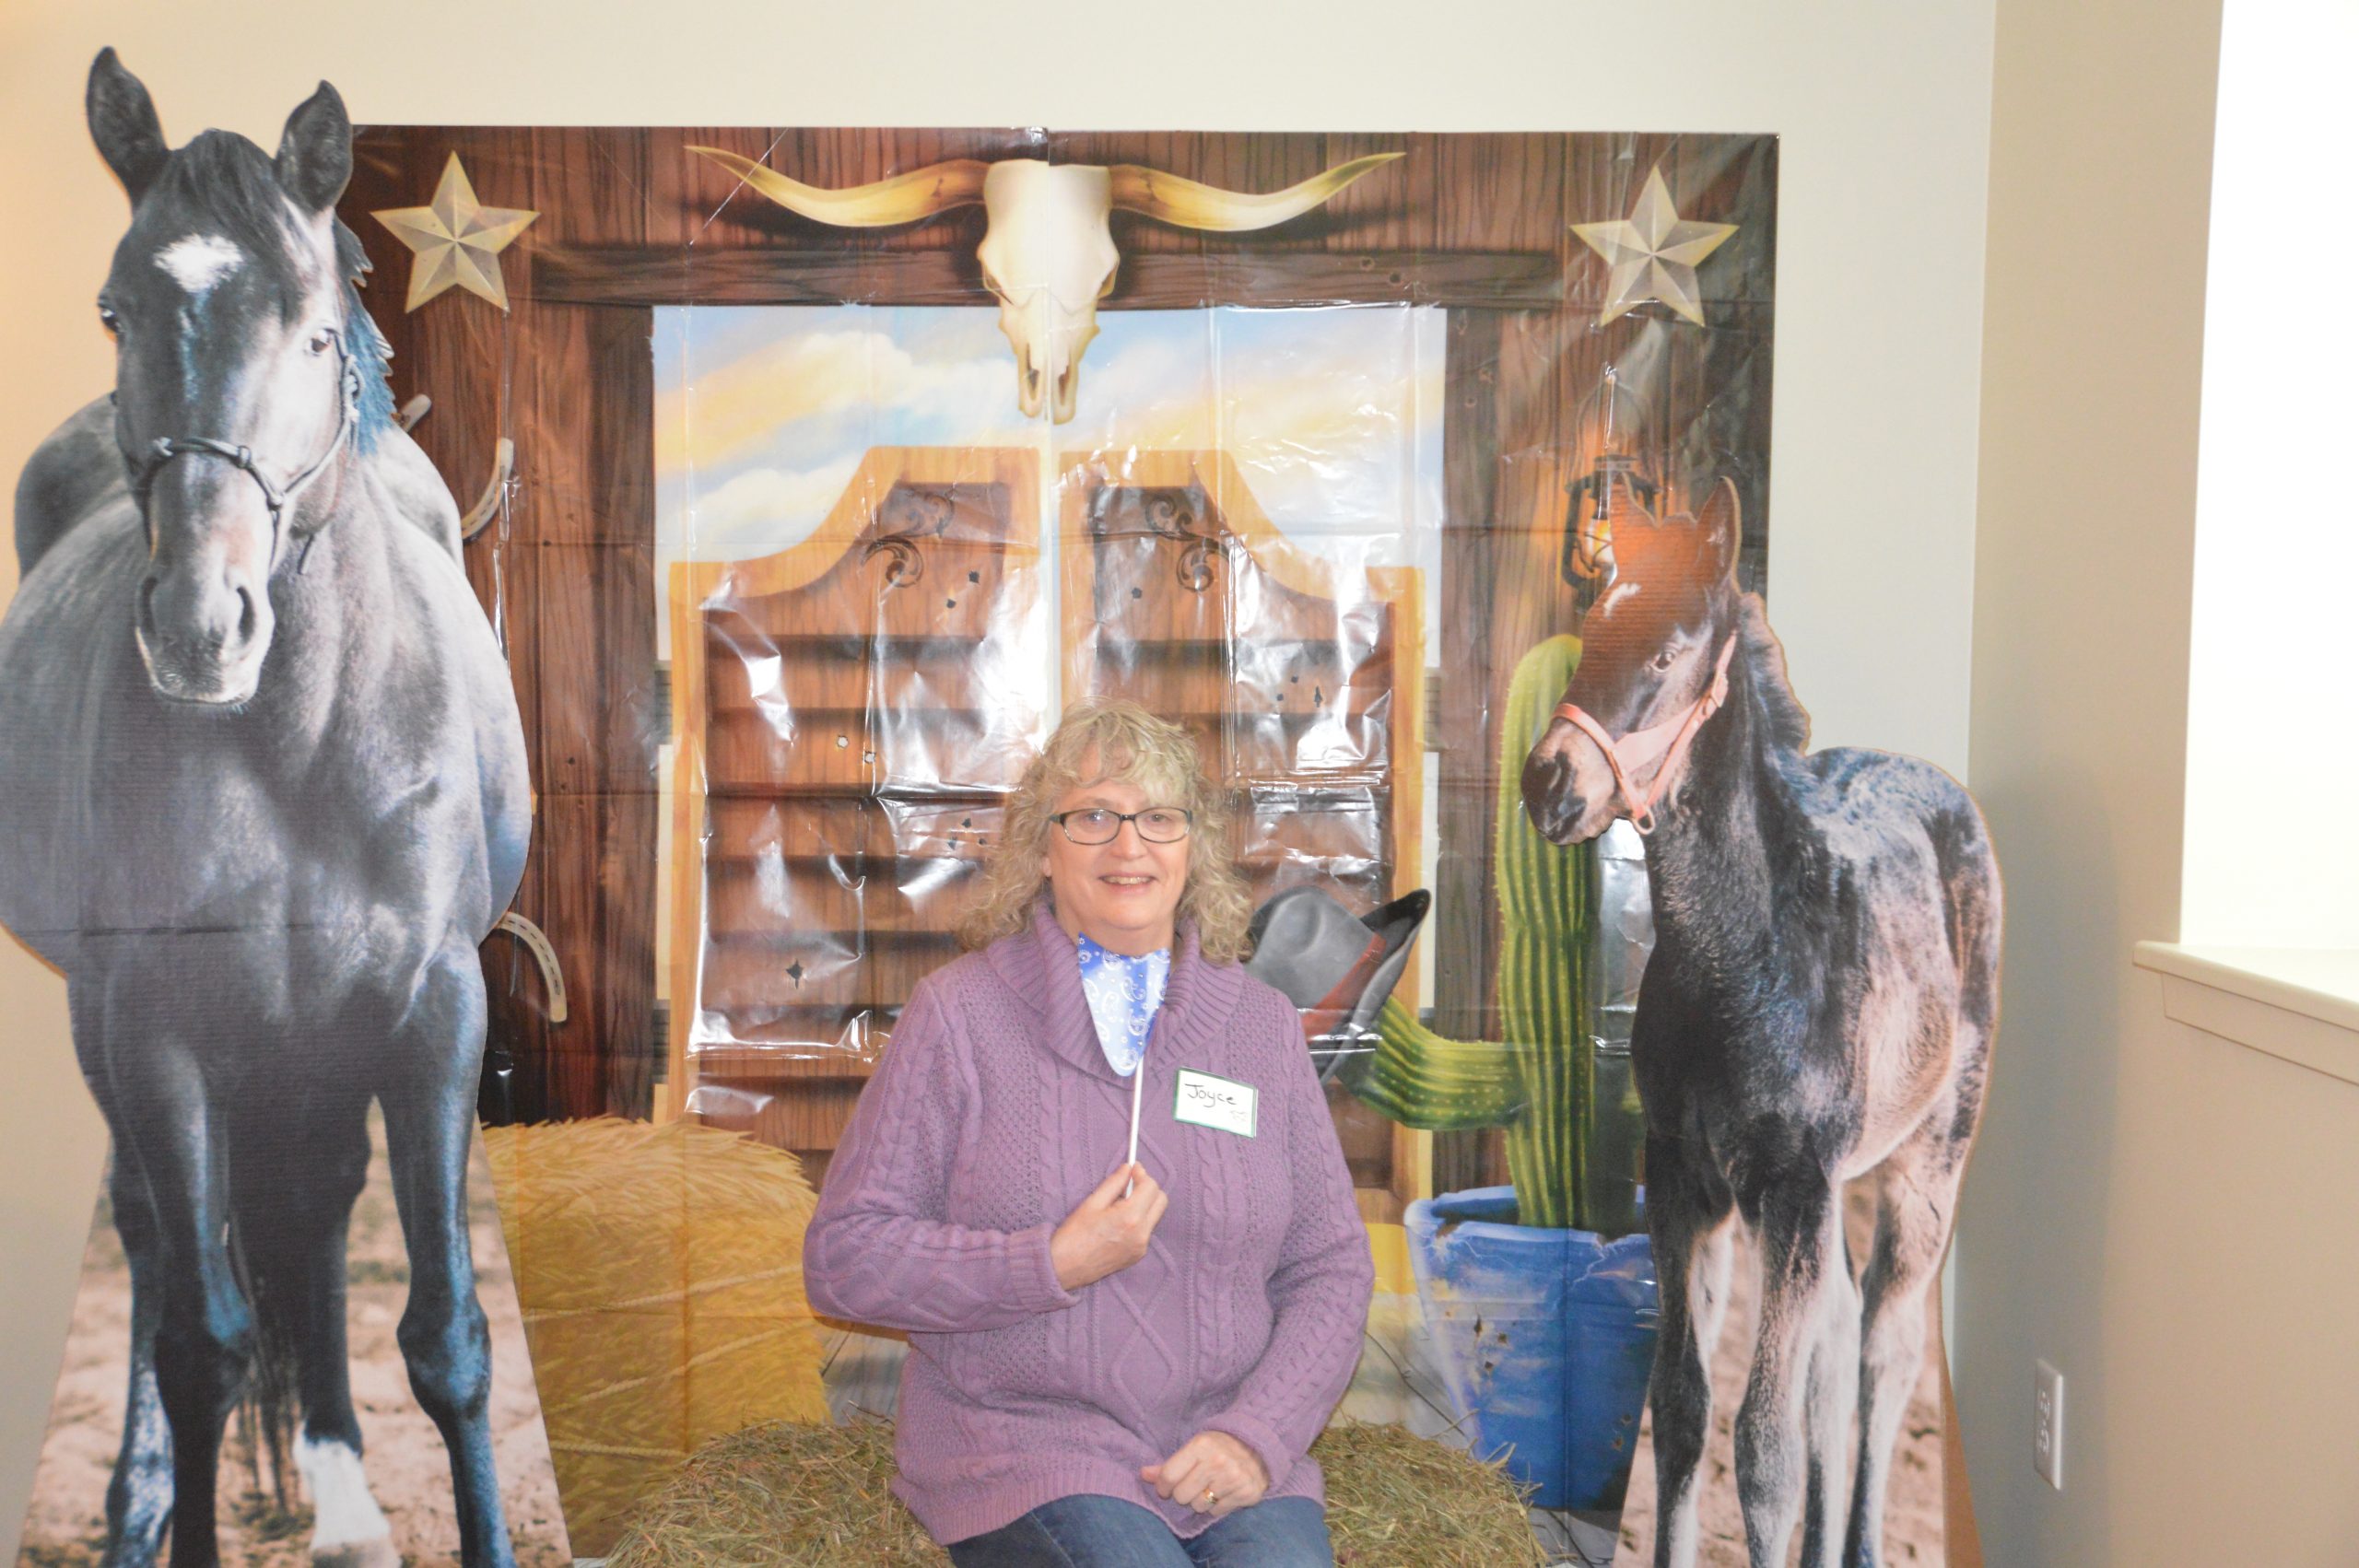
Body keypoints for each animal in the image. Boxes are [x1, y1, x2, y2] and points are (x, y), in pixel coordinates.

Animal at [0, 52, 530, 1568]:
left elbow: (449, 1340)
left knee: (314, 1212)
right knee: (160, 1242)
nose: (200, 626)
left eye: (310, 330)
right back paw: (143, 1499)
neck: (303, 745)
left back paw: (339, 1498)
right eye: (115, 308)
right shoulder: (161, 1028)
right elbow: (201, 1344)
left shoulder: (431, 1011)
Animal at [1518, 479, 1998, 1568]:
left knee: (1884, 1348)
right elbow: (1682, 1409)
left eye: (1667, 655)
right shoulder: (1684, 1181)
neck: (1740, 956)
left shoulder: (1791, 1183)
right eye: (1588, 638)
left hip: (1924, 1159)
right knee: (1836, 1345)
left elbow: (1764, 1441)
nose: (1547, 783)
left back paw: (1860, 1544)